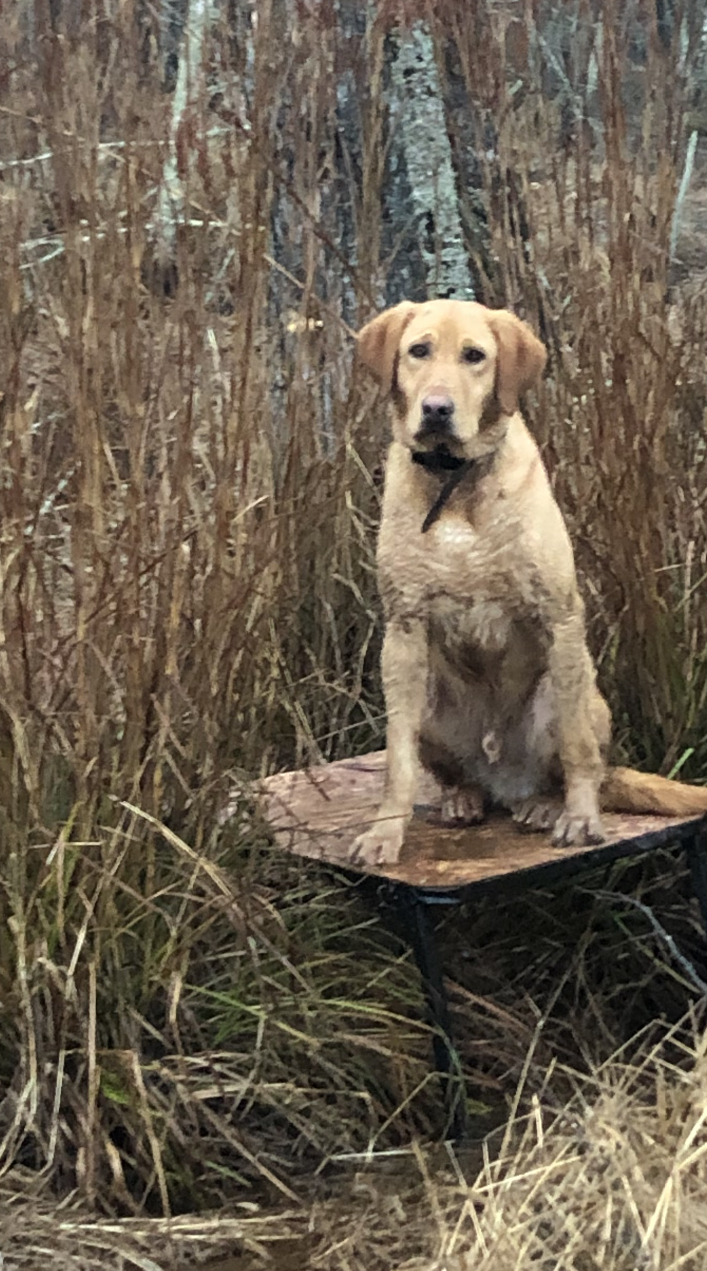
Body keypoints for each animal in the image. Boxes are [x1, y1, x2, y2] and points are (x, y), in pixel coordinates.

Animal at [353, 302, 707, 869]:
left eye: (474, 356)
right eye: (418, 351)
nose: (436, 409)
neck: (455, 483)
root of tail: (504, 784)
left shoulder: (558, 616)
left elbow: (577, 749)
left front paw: (581, 819)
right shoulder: (403, 631)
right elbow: (397, 759)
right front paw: (386, 832)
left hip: (571, 691)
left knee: (574, 763)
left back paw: (548, 804)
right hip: (428, 698)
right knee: (454, 772)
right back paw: (463, 797)